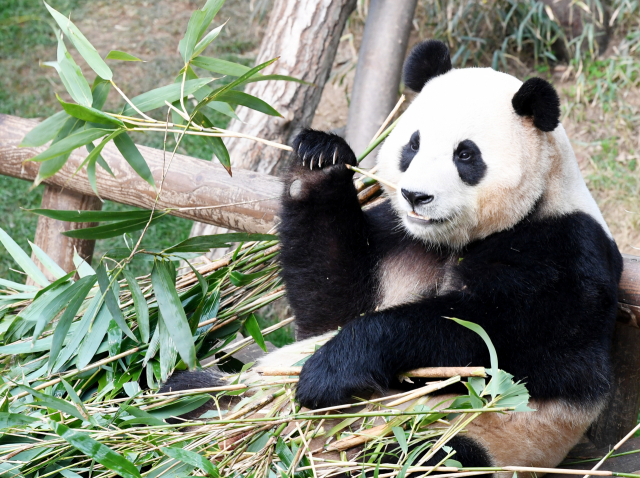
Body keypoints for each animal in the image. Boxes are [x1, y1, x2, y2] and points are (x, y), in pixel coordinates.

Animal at [162, 40, 624, 470]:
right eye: (412, 145)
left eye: (465, 154)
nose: (416, 196)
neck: (453, 240)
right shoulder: (398, 235)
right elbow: (331, 307)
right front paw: (321, 157)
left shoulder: (564, 252)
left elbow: (495, 339)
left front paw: (329, 371)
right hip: (231, 391)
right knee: (185, 393)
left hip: (472, 439)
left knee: (421, 455)